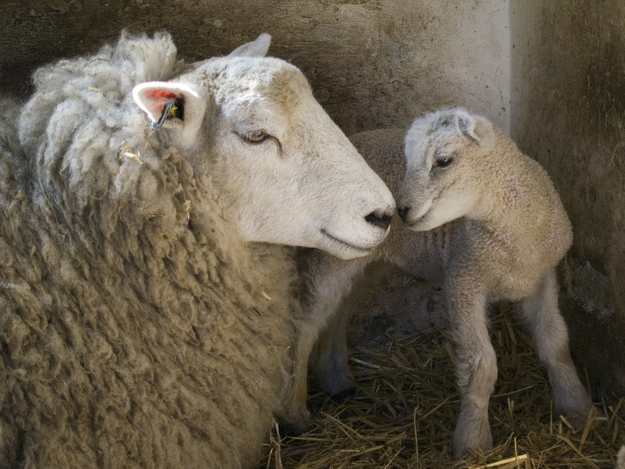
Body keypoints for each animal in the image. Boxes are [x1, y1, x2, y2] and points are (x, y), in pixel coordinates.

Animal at [292, 107, 596, 458]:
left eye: (444, 161)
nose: (401, 211)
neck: (514, 235)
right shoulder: (464, 280)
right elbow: (480, 365)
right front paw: (473, 442)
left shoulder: (542, 279)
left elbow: (556, 343)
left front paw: (578, 409)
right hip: (331, 255)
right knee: (306, 321)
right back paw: (295, 409)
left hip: (367, 261)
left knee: (338, 310)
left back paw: (335, 378)